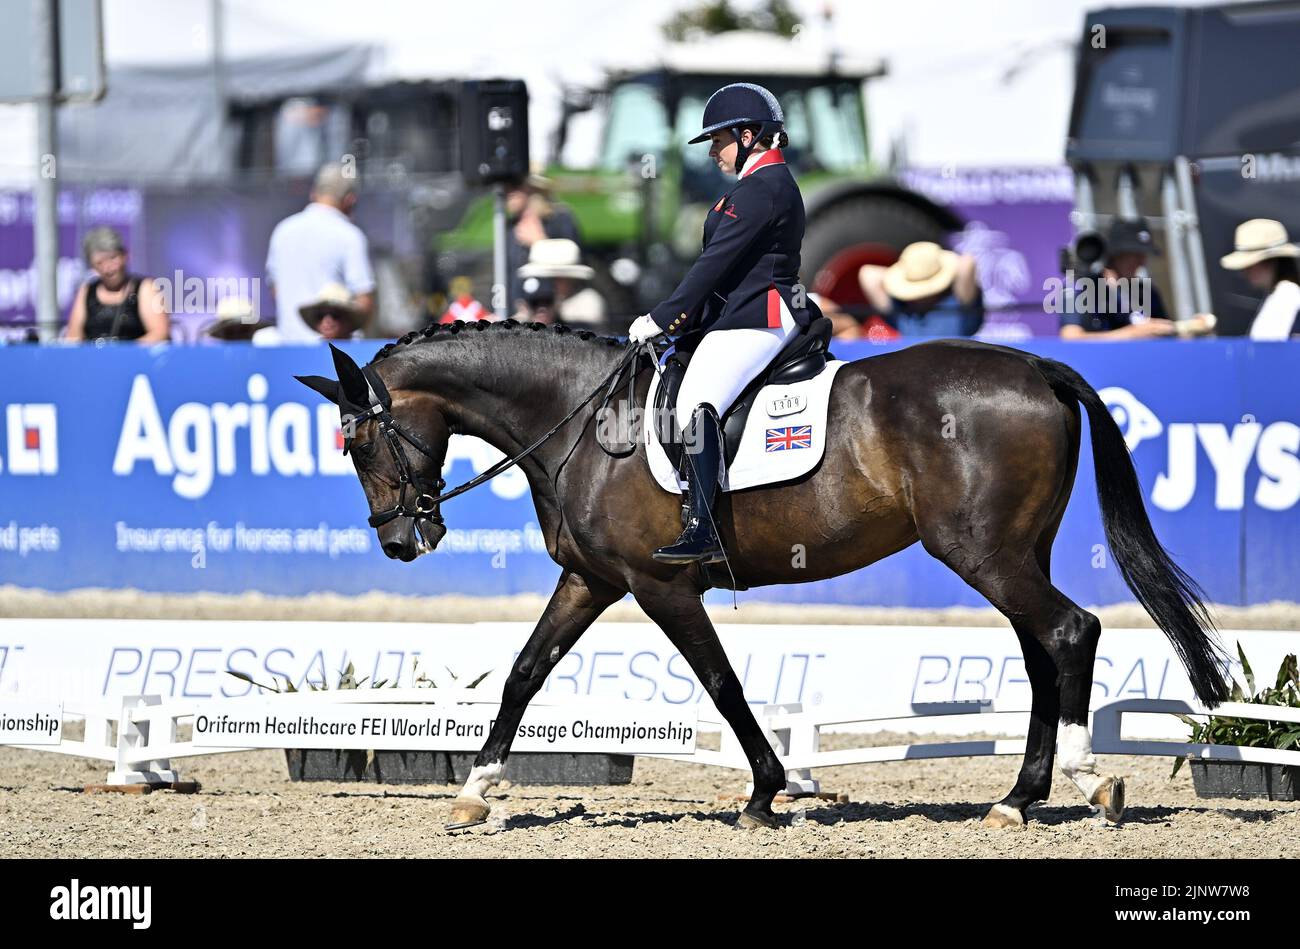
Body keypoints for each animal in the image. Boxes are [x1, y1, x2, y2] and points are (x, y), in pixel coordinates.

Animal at [299, 319, 1232, 826]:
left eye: (361, 443)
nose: (400, 543)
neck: (580, 420)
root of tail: (1035, 364)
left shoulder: (660, 584)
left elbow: (721, 681)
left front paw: (763, 792)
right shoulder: (594, 580)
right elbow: (526, 671)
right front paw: (475, 788)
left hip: (983, 552)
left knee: (1071, 631)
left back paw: (1085, 781)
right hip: (1012, 551)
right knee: (1043, 651)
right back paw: (1016, 797)